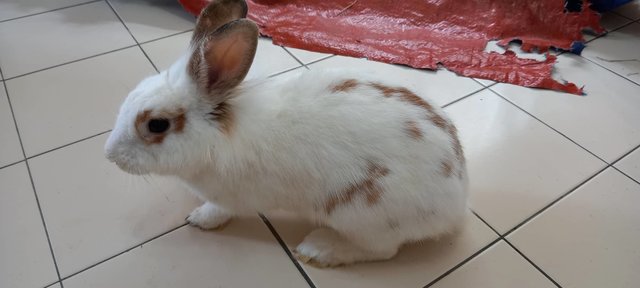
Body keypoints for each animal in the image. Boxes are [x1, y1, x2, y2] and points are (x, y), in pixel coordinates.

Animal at [104, 0, 464, 266]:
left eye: (157, 125)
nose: (109, 154)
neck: (218, 136)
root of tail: (457, 197)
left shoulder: (228, 198)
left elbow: (217, 211)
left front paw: (198, 219)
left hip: (363, 215)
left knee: (383, 250)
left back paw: (318, 250)